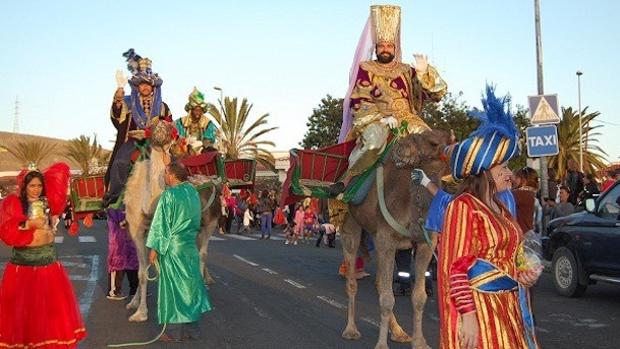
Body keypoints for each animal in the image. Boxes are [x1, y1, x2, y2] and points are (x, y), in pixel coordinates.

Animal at [340, 128, 450, 348]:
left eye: (434, 142)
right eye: (429, 140)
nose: (401, 148)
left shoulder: (426, 243)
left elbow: (419, 297)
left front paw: (420, 342)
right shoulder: (386, 239)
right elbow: (387, 299)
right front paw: (381, 345)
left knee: (379, 284)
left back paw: (399, 332)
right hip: (351, 226)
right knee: (352, 281)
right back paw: (351, 330)